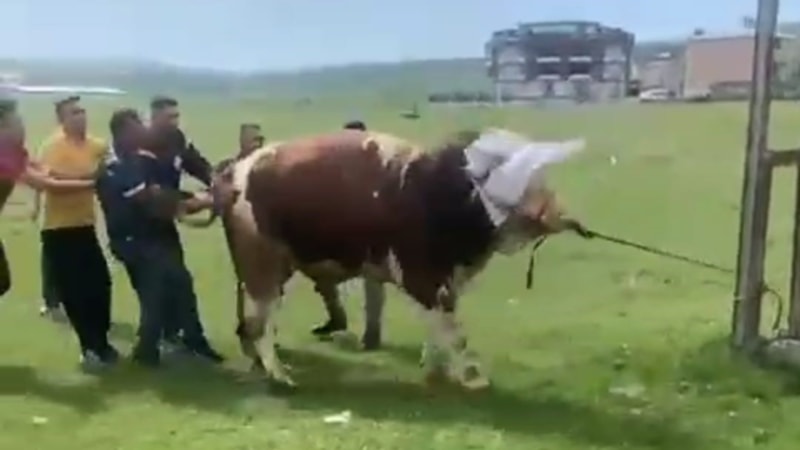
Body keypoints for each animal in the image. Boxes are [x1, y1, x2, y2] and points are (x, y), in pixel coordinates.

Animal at [201, 128, 586, 389]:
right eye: (524, 176)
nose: (561, 214)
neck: (441, 191)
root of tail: (236, 170)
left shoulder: (442, 280)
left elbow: (437, 328)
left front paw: (437, 370)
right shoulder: (423, 277)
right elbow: (452, 330)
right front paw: (470, 378)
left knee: (254, 323)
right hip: (263, 267)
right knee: (261, 323)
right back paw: (279, 375)